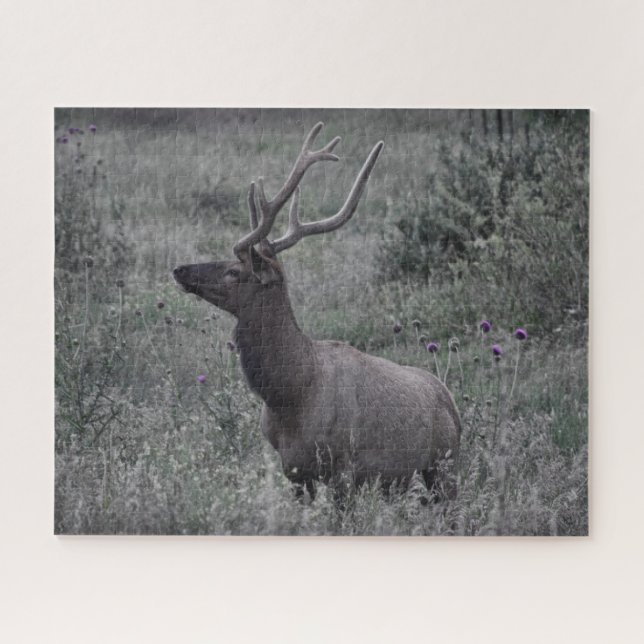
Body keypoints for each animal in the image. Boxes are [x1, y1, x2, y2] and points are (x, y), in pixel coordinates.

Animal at [173, 122, 461, 500]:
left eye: (234, 271)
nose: (179, 269)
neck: (291, 395)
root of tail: (453, 404)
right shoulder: (293, 470)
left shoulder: (344, 468)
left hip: (445, 465)